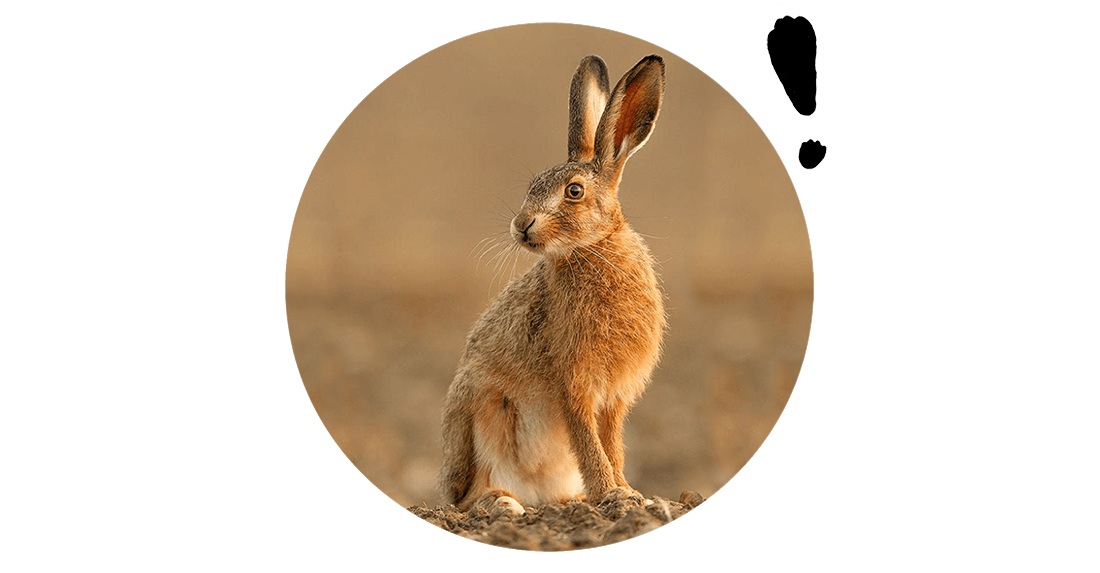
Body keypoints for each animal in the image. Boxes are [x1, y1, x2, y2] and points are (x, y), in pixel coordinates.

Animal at [441, 54, 666, 515]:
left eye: (574, 192)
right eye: (532, 186)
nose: (521, 226)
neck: (592, 248)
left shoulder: (613, 397)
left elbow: (610, 443)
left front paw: (628, 493)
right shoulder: (573, 383)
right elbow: (588, 440)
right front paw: (613, 495)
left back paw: (570, 501)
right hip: (482, 413)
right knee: (468, 498)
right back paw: (503, 504)